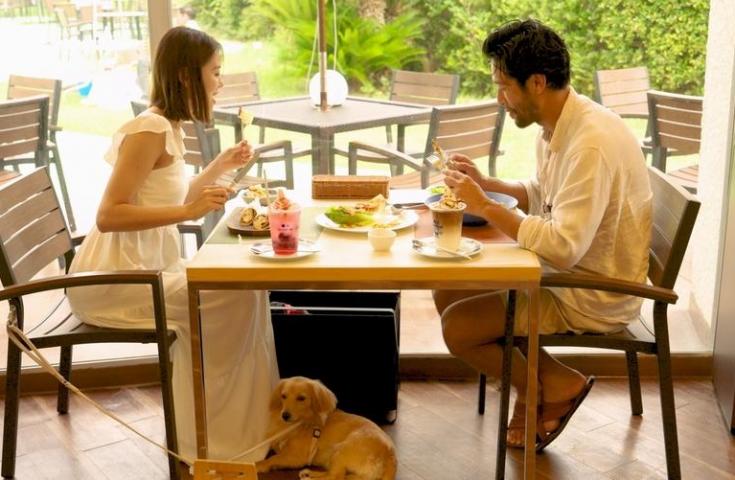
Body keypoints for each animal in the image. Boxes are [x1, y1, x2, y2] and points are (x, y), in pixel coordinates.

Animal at [255, 376, 398, 480]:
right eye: (283, 396)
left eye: (301, 398)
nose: (284, 415)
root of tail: (390, 455)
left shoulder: (297, 456)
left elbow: (273, 458)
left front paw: (258, 465)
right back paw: (310, 473)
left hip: (341, 450)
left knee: (335, 477)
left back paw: (309, 478)